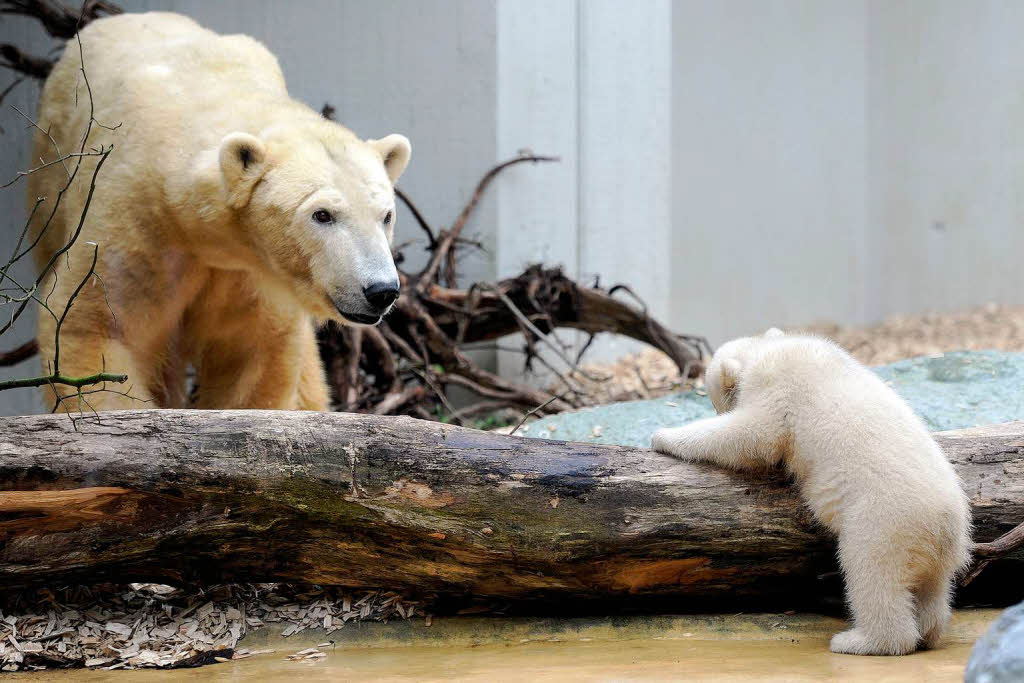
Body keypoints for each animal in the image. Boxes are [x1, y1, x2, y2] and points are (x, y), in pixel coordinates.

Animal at [27, 13, 407, 411]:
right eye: (322, 215)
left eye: (386, 216)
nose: (381, 290)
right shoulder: (135, 220)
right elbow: (99, 325)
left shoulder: (250, 272)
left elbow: (250, 348)